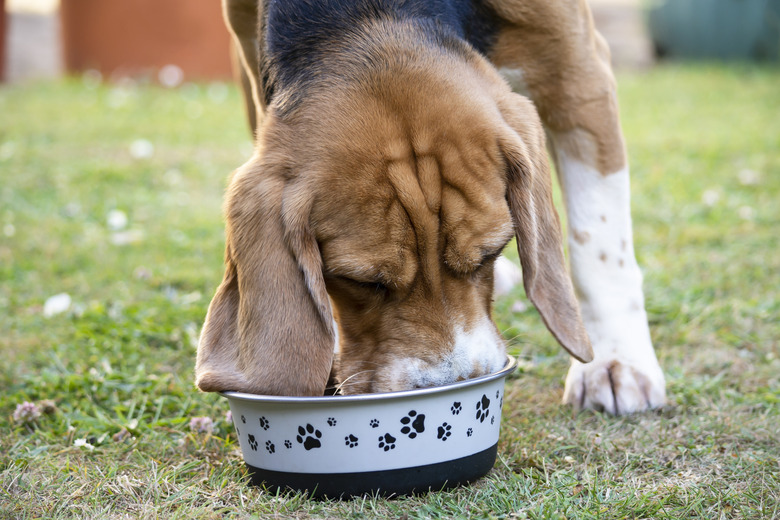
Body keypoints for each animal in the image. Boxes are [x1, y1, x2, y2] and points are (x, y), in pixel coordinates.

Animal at [195, 0, 664, 414]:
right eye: (362, 281)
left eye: (491, 254)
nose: (455, 385)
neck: (369, 15)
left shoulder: (578, 76)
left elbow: (600, 244)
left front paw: (616, 362)